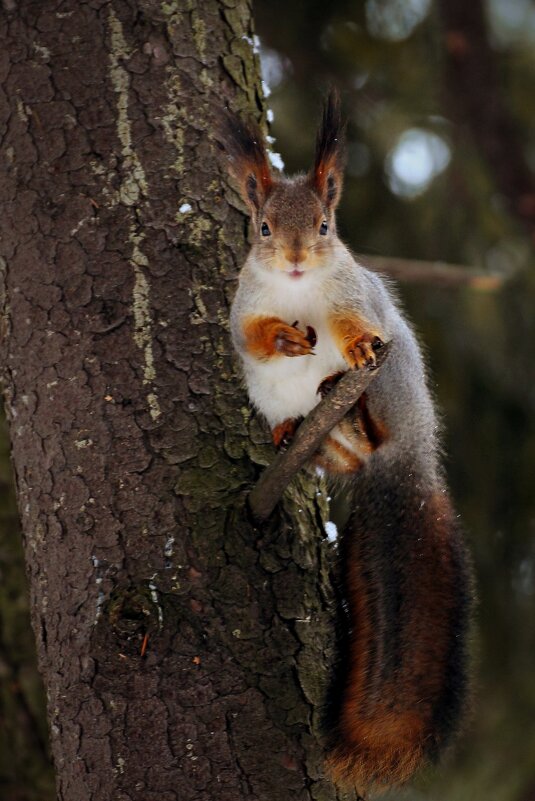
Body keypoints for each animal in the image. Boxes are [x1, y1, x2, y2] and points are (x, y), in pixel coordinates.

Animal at [220, 92, 476, 792]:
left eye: (326, 225)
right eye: (263, 230)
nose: (297, 258)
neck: (300, 290)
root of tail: (411, 447)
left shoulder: (350, 297)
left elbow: (352, 324)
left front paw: (351, 345)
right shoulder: (244, 309)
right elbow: (252, 336)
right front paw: (283, 338)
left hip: (391, 384)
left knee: (371, 420)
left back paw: (351, 401)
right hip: (303, 420)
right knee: (337, 449)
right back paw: (295, 432)